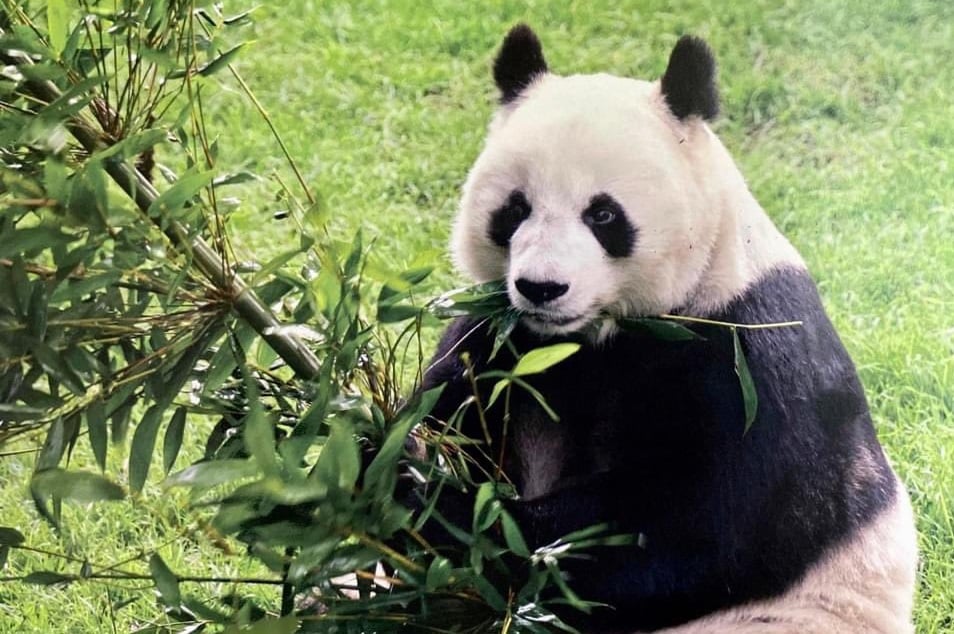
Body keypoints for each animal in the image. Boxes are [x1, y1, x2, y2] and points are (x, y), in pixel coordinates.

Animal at [418, 25, 918, 633]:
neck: (591, 337)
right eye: (515, 209)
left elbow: (691, 535)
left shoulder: (749, 360)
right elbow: (449, 406)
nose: (542, 287)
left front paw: (436, 503)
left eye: (603, 215)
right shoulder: (504, 338)